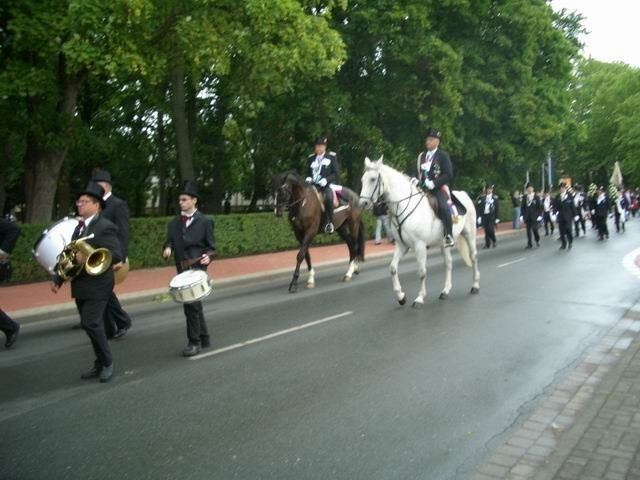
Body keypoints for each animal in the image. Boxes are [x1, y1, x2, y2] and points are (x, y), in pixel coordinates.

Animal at [358, 156, 480, 307]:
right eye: (362, 180)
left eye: (373, 179)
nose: (362, 204)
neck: (403, 206)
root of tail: (464, 194)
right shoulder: (402, 245)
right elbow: (392, 268)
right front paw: (401, 296)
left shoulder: (420, 246)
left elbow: (421, 272)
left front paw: (420, 297)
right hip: (444, 242)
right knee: (448, 263)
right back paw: (445, 291)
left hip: (470, 234)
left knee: (473, 257)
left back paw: (475, 285)